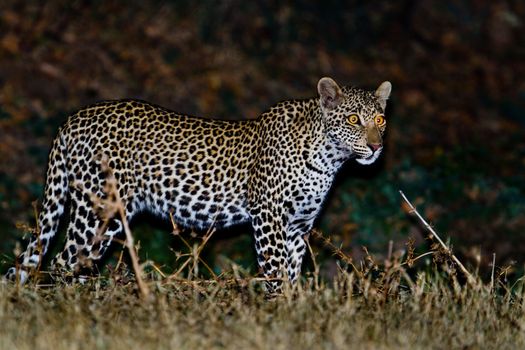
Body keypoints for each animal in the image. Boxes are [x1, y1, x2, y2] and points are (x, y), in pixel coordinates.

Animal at [3, 77, 388, 292]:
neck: (328, 158)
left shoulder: (298, 227)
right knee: (63, 262)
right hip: (96, 210)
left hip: (105, 219)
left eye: (381, 120)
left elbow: (292, 274)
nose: (376, 147)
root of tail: (74, 118)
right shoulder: (270, 221)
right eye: (353, 119)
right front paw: (279, 316)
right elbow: (276, 274)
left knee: (80, 263)